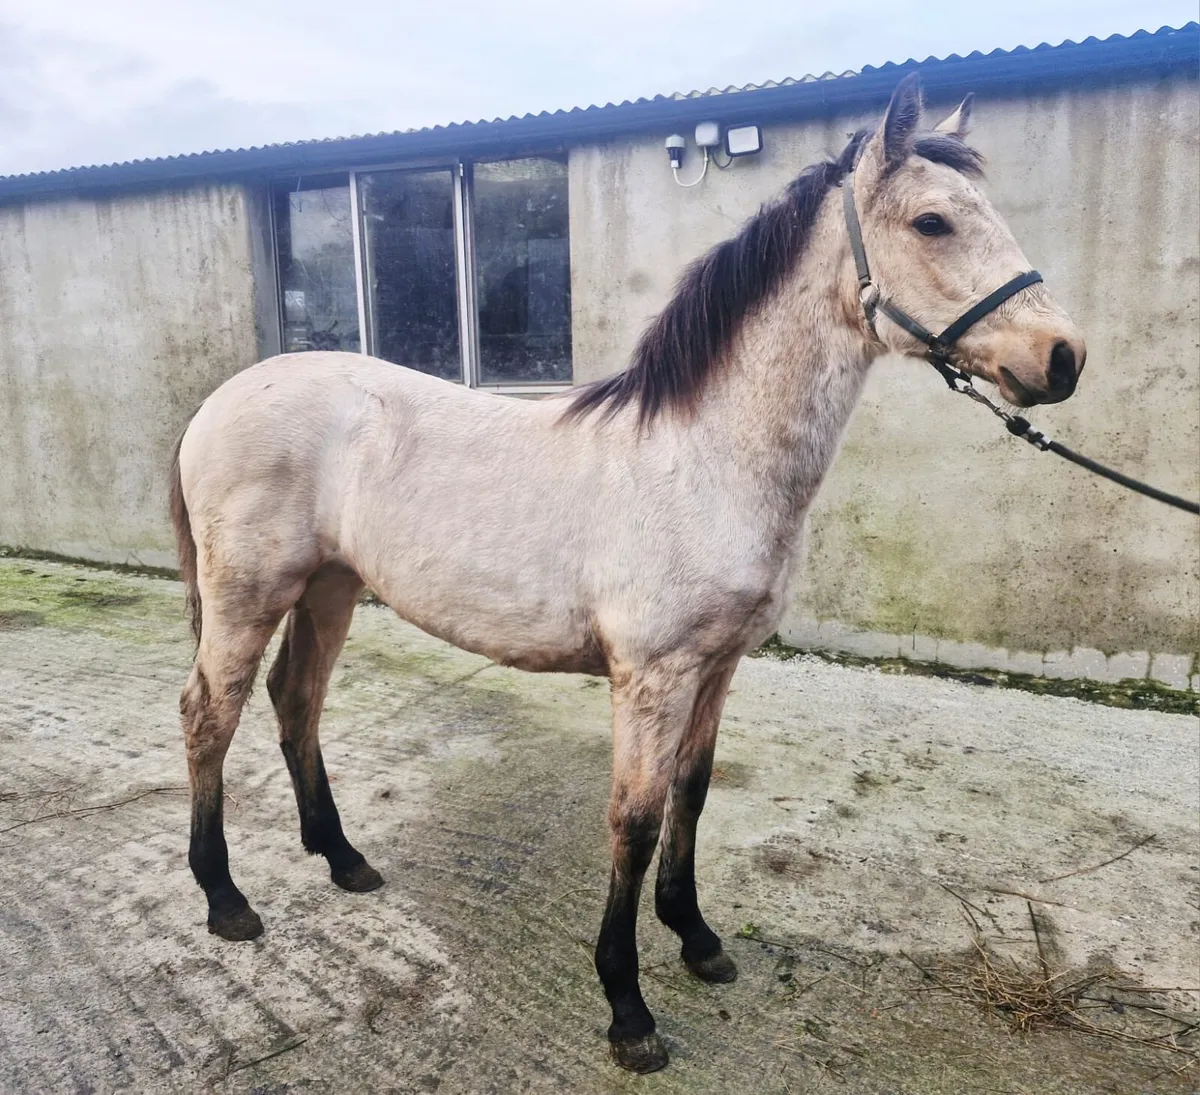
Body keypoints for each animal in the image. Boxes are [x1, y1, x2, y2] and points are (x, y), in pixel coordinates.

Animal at [169, 74, 1085, 1073]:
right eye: (932, 222)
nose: (1062, 356)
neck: (704, 457)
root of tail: (218, 402)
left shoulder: (718, 666)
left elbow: (694, 791)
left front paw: (698, 938)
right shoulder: (652, 675)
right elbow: (636, 819)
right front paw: (627, 1007)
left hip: (331, 586)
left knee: (294, 700)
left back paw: (341, 859)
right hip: (248, 593)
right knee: (210, 713)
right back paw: (225, 899)